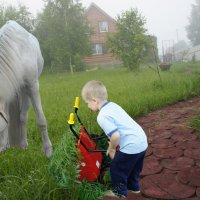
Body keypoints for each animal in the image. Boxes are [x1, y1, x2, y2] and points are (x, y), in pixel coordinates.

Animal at [0, 20, 52, 158]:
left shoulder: (32, 86)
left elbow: (41, 120)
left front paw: (48, 150)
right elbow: (7, 119)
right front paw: (3, 146)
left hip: (25, 92)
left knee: (23, 117)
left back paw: (23, 145)